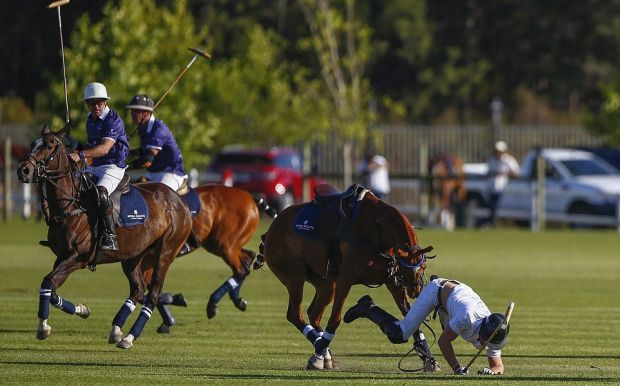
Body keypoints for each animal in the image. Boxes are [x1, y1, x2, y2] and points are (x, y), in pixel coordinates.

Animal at [254, 185, 434, 370]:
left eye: (424, 266)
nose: (416, 289)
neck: (377, 227)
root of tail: (272, 229)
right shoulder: (345, 278)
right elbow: (335, 319)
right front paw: (317, 355)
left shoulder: (392, 281)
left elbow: (411, 316)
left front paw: (428, 358)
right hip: (293, 276)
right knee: (295, 315)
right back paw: (319, 350)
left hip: (325, 283)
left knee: (314, 314)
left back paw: (325, 353)